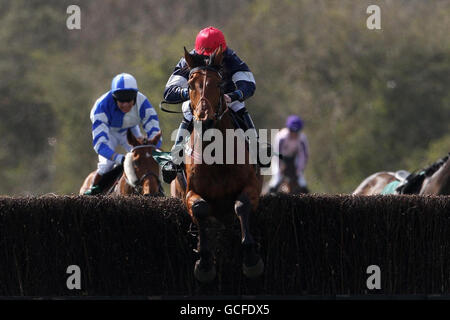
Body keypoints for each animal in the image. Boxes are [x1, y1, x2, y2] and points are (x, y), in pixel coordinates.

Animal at [171, 45, 264, 282]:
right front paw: (204, 263)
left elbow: (241, 205)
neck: (217, 156)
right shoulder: (190, 193)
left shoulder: (252, 186)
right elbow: (200, 208)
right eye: (190, 85)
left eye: (219, 84)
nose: (205, 119)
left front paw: (251, 260)